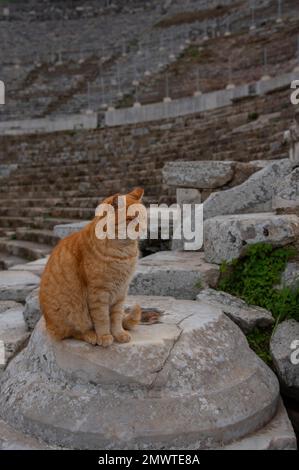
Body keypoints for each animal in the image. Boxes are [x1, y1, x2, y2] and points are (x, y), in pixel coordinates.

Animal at [39, 187, 144, 346]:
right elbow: (102, 319)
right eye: (130, 219)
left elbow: (116, 317)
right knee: (73, 332)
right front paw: (105, 336)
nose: (143, 228)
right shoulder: (98, 293)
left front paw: (119, 334)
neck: (124, 253)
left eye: (144, 218)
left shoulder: (121, 292)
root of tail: (48, 323)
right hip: (71, 313)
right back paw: (91, 335)